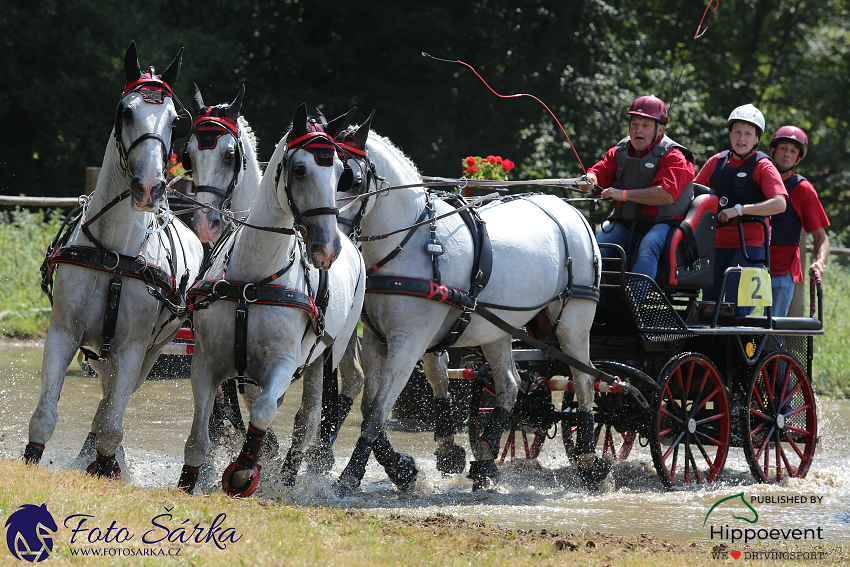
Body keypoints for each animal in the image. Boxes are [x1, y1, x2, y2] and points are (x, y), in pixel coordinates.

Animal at [27, 43, 203, 480]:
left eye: (174, 120)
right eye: (126, 111)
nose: (150, 186)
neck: (113, 254)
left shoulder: (132, 349)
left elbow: (111, 426)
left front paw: (107, 465)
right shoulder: (63, 333)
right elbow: (44, 415)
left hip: (150, 353)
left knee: (112, 405)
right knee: (105, 395)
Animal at [179, 103, 364, 496]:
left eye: (339, 174)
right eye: (299, 169)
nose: (327, 248)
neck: (253, 280)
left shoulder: (283, 364)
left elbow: (264, 411)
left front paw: (243, 473)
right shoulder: (207, 363)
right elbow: (200, 435)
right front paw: (188, 482)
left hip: (324, 356)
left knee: (307, 419)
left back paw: (288, 477)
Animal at [334, 131, 608, 494]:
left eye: (353, 179)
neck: (409, 242)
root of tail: (569, 210)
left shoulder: (408, 343)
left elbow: (378, 411)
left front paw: (351, 474)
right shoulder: (376, 340)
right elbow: (370, 408)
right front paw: (403, 468)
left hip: (574, 320)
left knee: (584, 382)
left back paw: (590, 461)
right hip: (499, 328)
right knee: (509, 383)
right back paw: (487, 460)